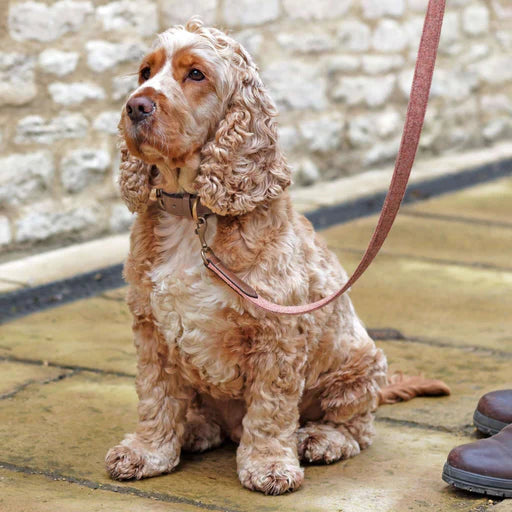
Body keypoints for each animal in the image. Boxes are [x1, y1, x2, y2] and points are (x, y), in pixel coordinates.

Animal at [105, 18, 444, 494]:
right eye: (145, 71)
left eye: (196, 74)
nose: (135, 106)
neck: (194, 214)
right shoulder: (152, 327)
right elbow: (156, 396)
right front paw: (148, 452)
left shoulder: (278, 336)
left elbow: (269, 410)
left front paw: (268, 465)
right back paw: (195, 430)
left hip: (359, 369)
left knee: (357, 429)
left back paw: (320, 439)